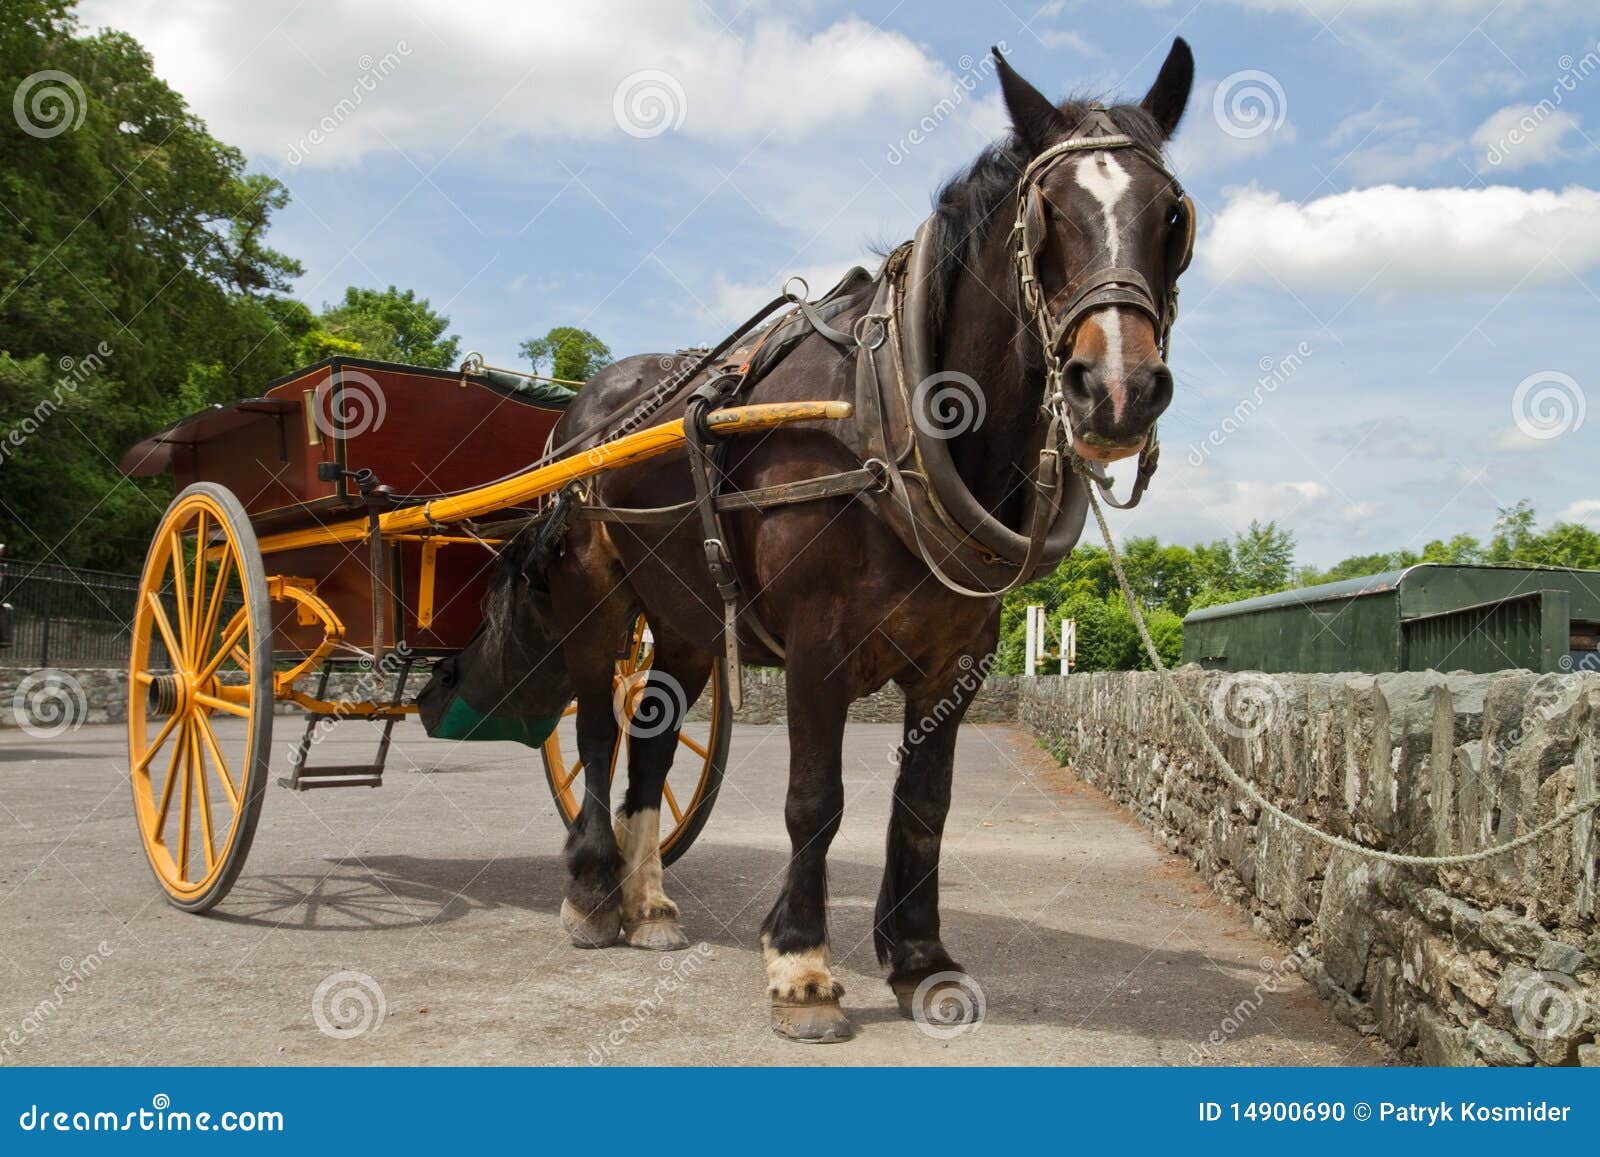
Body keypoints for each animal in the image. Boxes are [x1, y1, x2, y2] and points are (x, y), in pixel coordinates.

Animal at [493, 39, 1194, 1043]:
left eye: (1172, 216)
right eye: (1048, 215)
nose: (1118, 389)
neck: (886, 417)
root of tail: (589, 404)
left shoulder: (960, 655)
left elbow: (926, 802)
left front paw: (919, 958)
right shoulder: (819, 645)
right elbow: (814, 799)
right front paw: (802, 965)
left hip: (690, 619)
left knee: (654, 736)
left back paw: (650, 903)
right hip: (597, 591)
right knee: (594, 727)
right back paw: (592, 892)